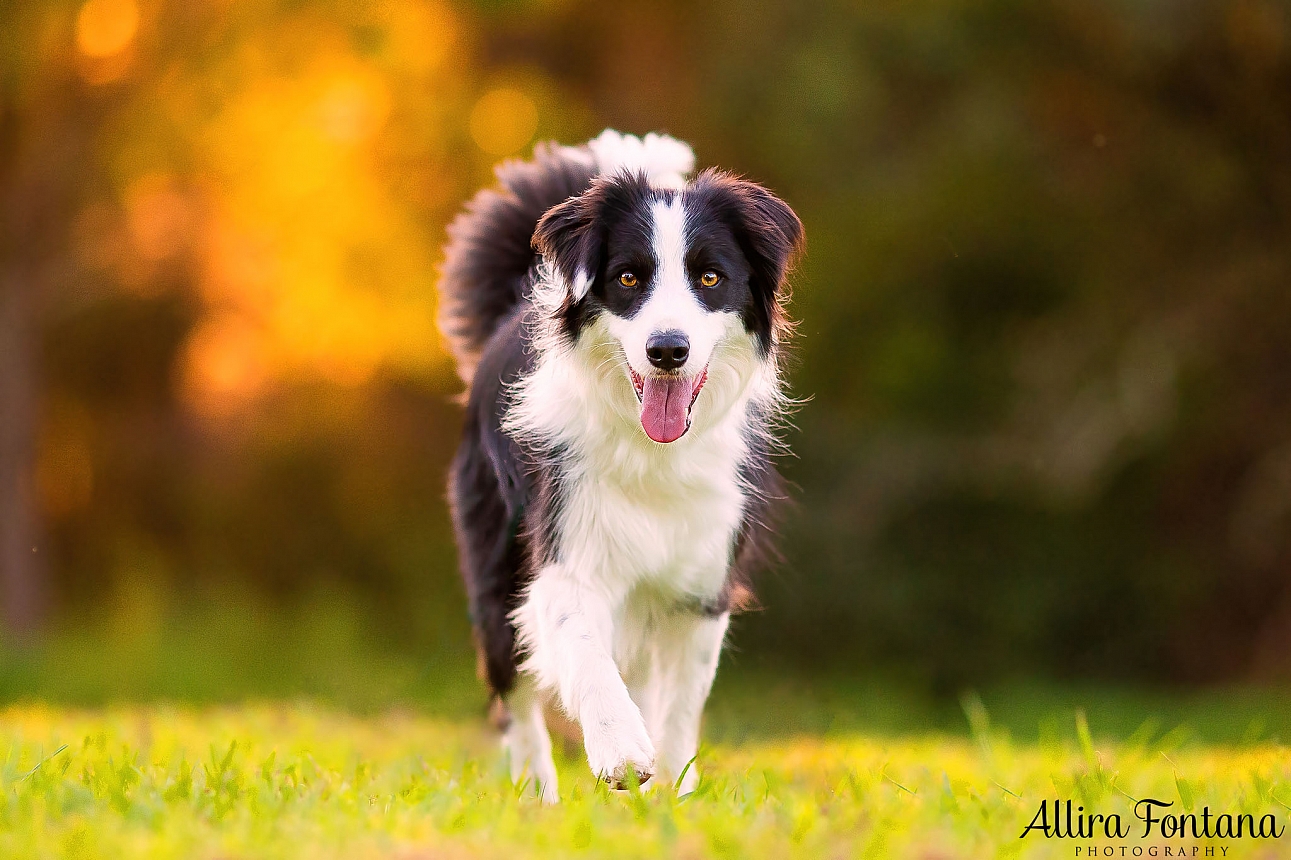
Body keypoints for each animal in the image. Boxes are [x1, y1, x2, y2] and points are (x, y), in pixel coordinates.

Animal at [441, 130, 805, 800]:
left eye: (710, 277)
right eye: (629, 277)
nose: (668, 350)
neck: (653, 451)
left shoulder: (701, 587)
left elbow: (680, 708)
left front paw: (671, 793)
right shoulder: (567, 550)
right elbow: (585, 651)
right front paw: (621, 751)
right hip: (493, 560)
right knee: (516, 694)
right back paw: (537, 798)